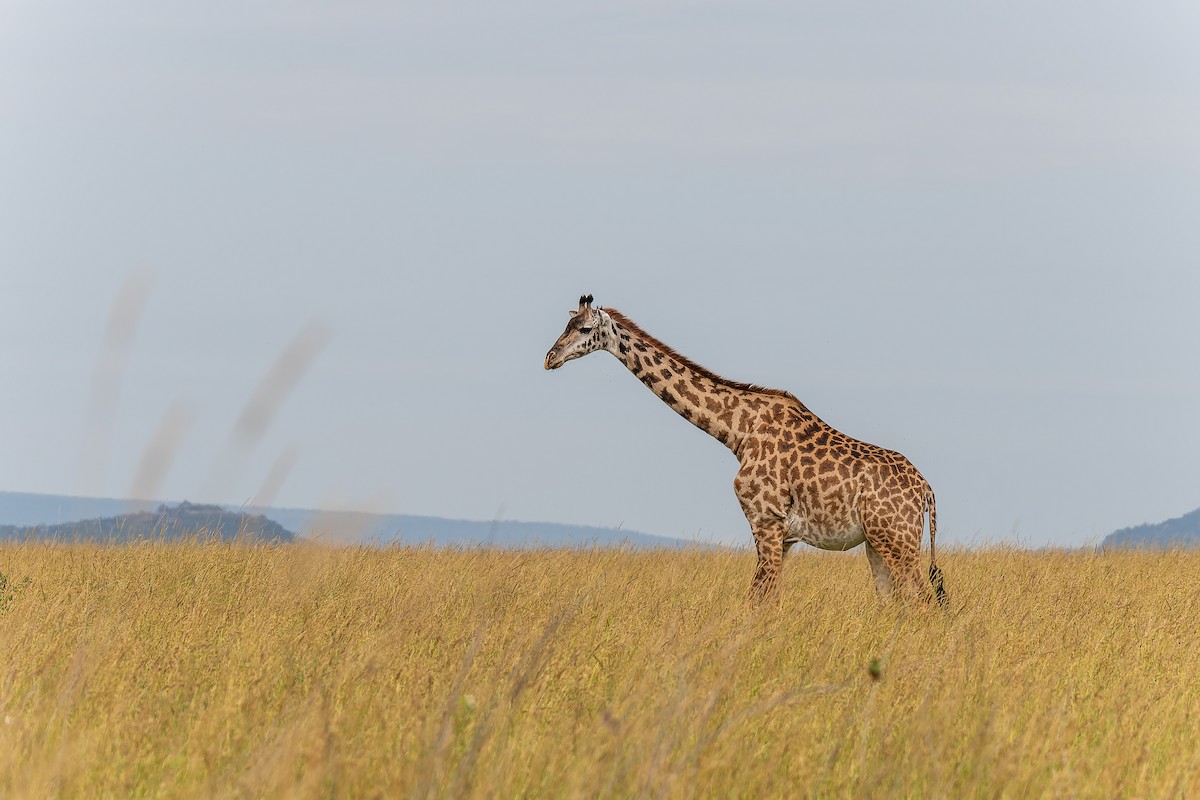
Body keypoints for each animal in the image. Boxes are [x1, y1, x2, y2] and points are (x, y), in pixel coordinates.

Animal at [544, 295, 947, 606]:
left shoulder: (765, 522)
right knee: (895, 603)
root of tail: (926, 491)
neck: (737, 432)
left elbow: (762, 600)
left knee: (923, 601)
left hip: (897, 540)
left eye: (584, 330)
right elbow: (762, 599)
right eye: (566, 324)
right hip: (877, 543)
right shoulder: (783, 536)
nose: (550, 357)